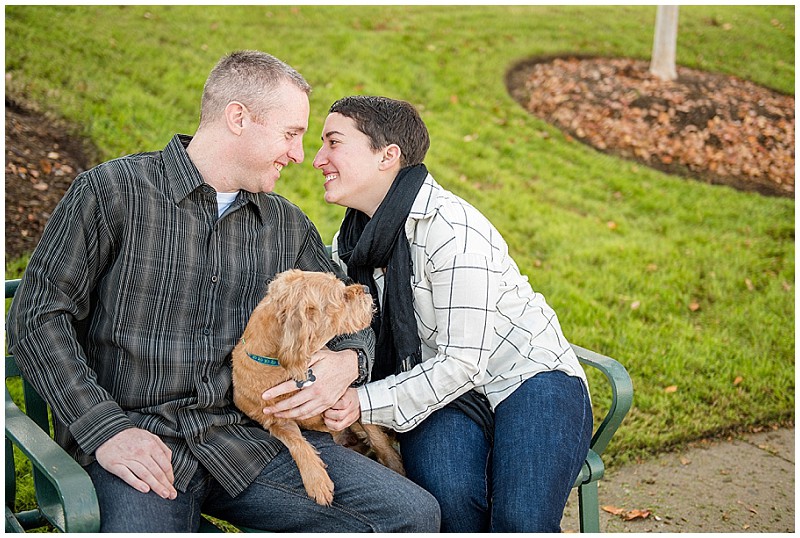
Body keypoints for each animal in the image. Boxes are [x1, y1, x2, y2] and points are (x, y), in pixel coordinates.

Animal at [233, 270, 406, 504]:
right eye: (342, 296)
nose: (366, 289)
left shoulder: (343, 396)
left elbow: (376, 435)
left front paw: (395, 465)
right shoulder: (277, 421)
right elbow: (297, 443)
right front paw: (316, 479)